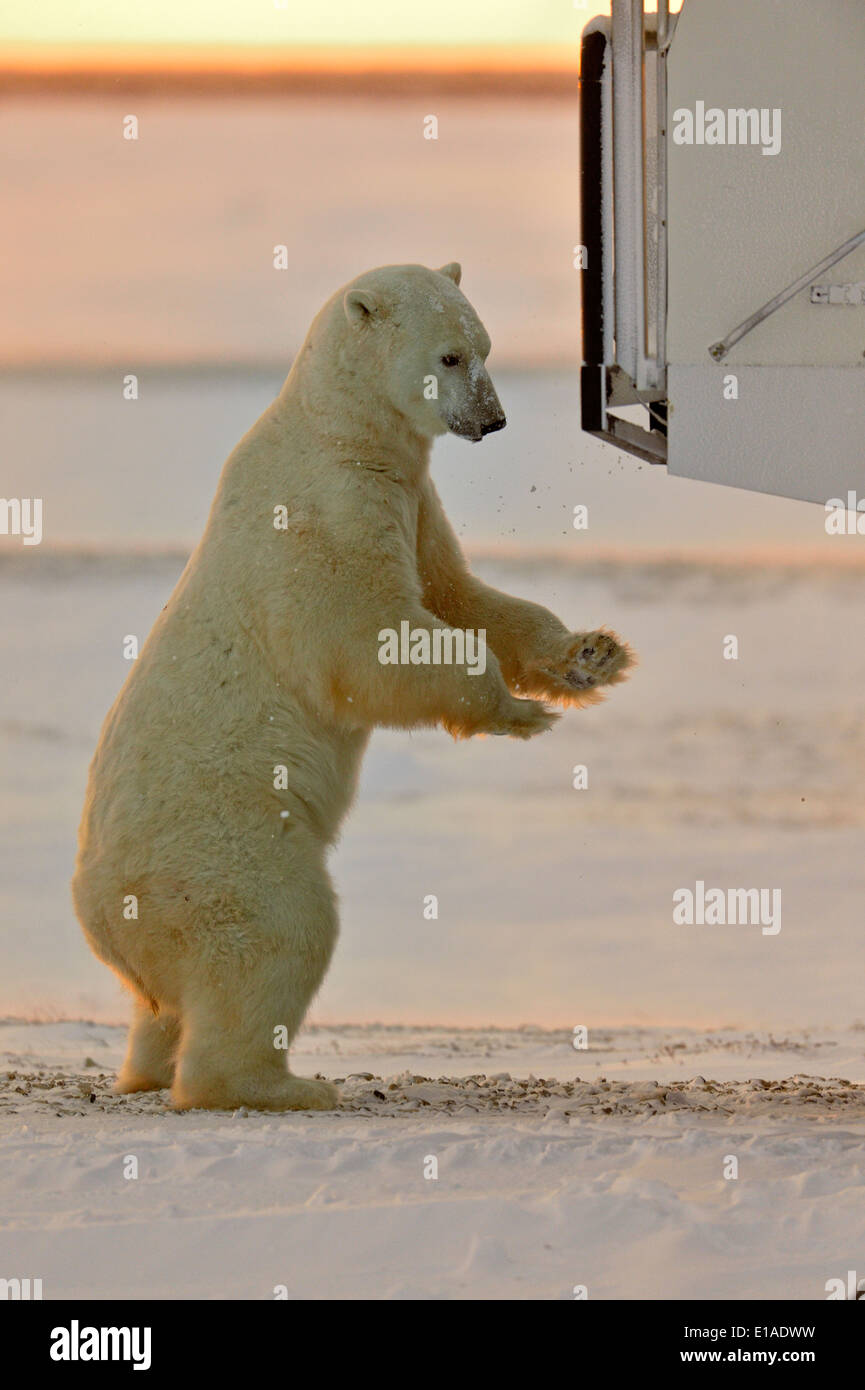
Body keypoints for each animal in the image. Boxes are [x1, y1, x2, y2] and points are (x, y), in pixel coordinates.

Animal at [71, 258, 634, 1106]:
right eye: (449, 357)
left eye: (485, 347)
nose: (493, 419)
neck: (336, 427)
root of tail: (101, 916)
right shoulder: (326, 505)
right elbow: (365, 635)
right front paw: (512, 710)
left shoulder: (410, 494)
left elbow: (458, 592)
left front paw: (591, 655)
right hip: (216, 850)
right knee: (278, 928)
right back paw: (273, 1085)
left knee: (166, 1002)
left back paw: (148, 1067)